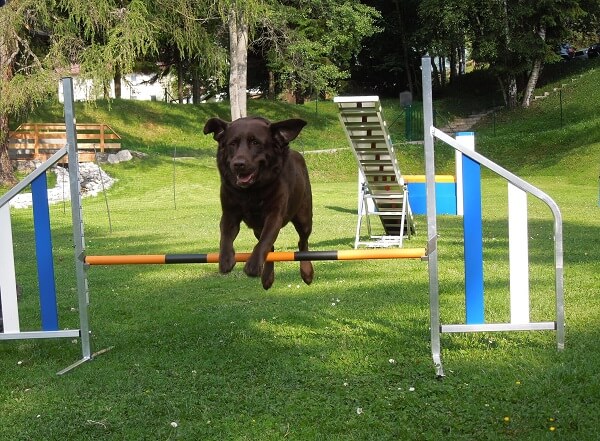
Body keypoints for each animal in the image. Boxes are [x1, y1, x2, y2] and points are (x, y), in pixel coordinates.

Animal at [204, 116, 314, 288]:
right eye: (232, 143)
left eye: (256, 142)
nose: (238, 164)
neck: (251, 192)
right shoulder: (229, 214)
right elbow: (225, 237)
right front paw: (226, 259)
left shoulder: (274, 215)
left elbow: (265, 241)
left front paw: (253, 265)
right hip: (257, 228)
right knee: (272, 248)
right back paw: (268, 277)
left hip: (304, 218)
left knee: (302, 242)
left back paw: (307, 272)